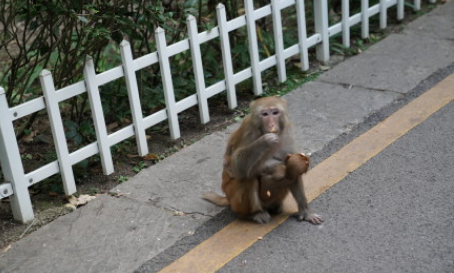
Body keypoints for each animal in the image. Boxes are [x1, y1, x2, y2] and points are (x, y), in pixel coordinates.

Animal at [202, 95, 322, 223]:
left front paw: (305, 212)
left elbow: (294, 170)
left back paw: (275, 207)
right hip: (235, 200)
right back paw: (252, 214)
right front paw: (265, 141)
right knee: (248, 179)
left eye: (275, 112)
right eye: (265, 114)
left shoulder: (288, 132)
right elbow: (236, 166)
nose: (271, 125)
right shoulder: (248, 129)